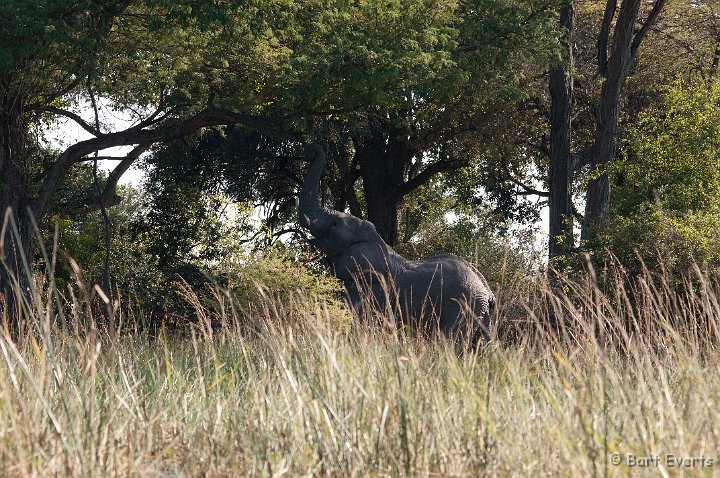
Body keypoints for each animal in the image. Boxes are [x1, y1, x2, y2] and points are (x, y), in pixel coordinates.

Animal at [298, 143, 496, 344]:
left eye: (334, 224)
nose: (309, 150)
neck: (376, 241)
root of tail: (488, 293)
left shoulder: (373, 287)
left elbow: (361, 321)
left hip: (462, 307)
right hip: (482, 315)